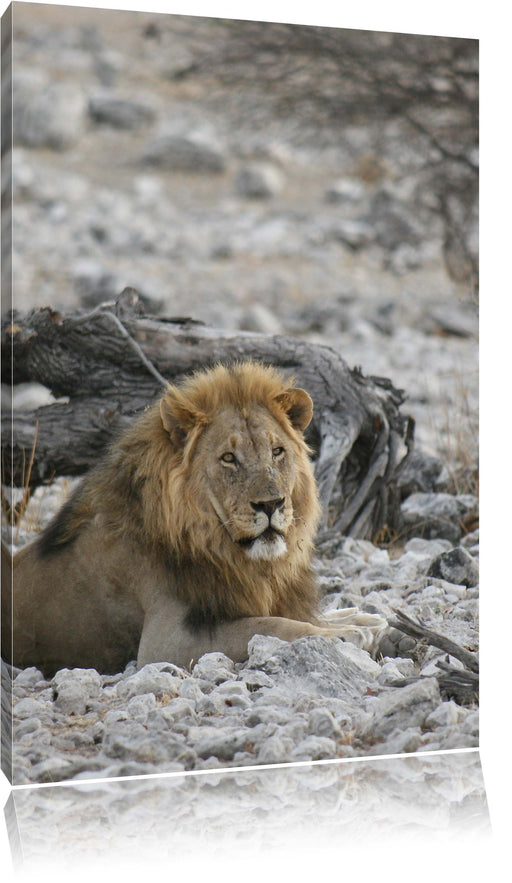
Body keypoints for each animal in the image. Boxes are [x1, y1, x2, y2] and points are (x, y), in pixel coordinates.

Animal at [1, 360, 388, 676]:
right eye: (228, 458)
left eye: (277, 451)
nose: (271, 504)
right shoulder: (165, 642)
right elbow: (273, 625)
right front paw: (351, 634)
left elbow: (296, 616)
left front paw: (362, 618)